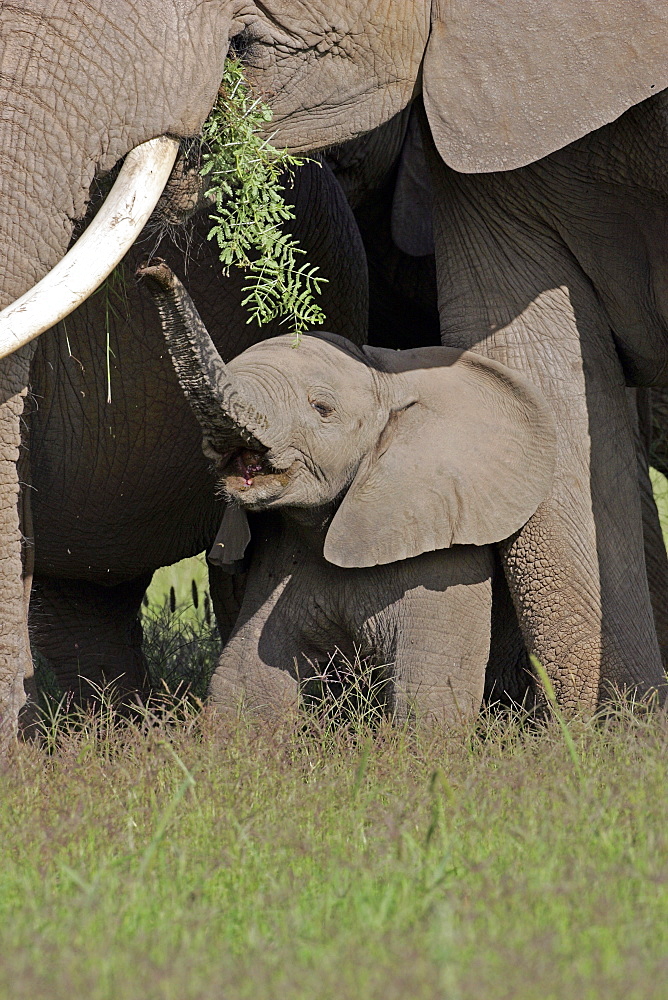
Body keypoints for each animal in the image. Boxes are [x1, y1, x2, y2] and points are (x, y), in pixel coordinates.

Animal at [144, 262, 556, 724]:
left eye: (321, 409)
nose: (153, 268)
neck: (387, 379)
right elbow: (247, 680)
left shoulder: (445, 555)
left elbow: (429, 688)